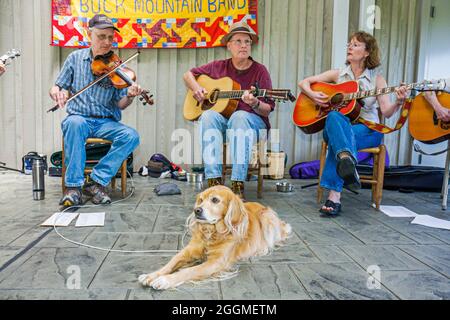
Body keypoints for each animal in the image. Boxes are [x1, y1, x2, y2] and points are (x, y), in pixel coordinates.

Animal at [137, 185, 292, 290]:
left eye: (215, 200)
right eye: (200, 200)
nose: (196, 210)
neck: (211, 234)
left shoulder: (216, 262)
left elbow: (189, 271)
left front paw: (165, 280)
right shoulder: (187, 251)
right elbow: (170, 263)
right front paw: (152, 275)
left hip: (267, 217)